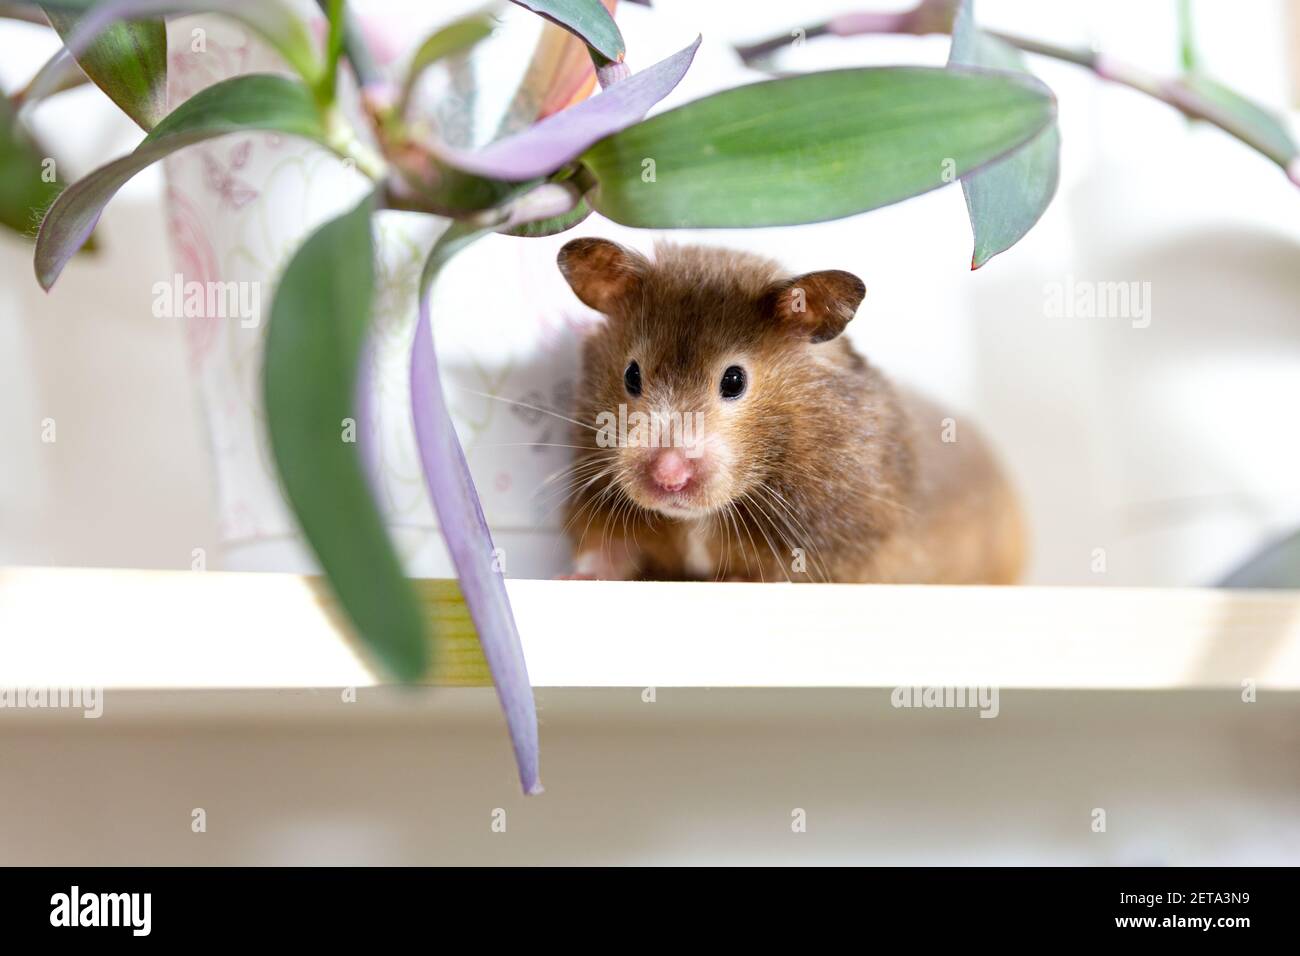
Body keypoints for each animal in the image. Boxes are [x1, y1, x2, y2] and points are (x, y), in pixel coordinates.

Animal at [554, 238, 1025, 584]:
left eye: (734, 380)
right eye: (632, 375)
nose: (669, 477)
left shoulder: (836, 548)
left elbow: (780, 575)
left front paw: (734, 582)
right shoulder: (596, 502)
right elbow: (605, 550)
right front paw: (573, 579)